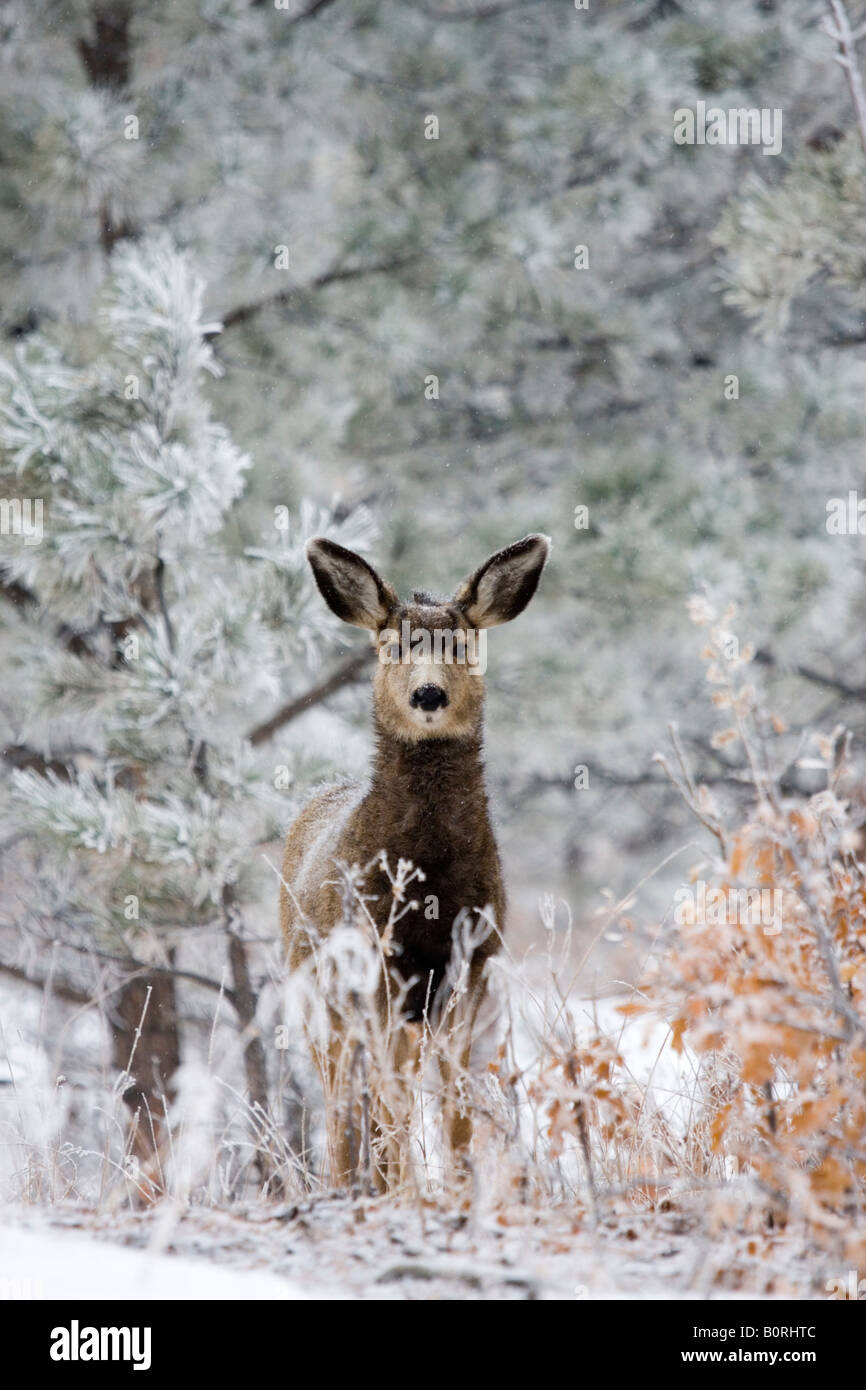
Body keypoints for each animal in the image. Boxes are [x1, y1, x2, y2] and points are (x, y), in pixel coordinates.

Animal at [279, 532, 550, 1190]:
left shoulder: (471, 963)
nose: (429, 693)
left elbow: (453, 1099)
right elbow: (392, 1096)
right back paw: (347, 1185)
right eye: (394, 644)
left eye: (462, 644)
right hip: (318, 994)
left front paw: (454, 1188)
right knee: (341, 1098)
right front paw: (410, 1190)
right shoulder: (377, 964)